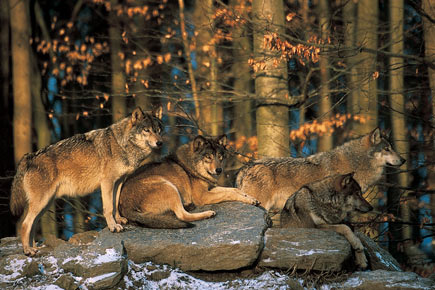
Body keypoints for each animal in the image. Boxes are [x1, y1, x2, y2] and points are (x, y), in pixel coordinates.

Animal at [10, 105, 164, 255]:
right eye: (146, 130)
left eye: (158, 130)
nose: (160, 143)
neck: (123, 144)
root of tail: (29, 156)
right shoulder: (107, 182)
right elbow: (108, 207)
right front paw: (113, 227)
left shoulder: (119, 181)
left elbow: (115, 203)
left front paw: (119, 220)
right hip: (42, 202)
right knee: (25, 224)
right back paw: (28, 250)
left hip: (45, 204)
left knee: (32, 224)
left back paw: (32, 247)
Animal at [119, 134, 258, 229]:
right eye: (208, 157)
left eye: (220, 156)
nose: (219, 170)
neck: (192, 167)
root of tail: (124, 206)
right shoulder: (202, 196)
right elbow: (230, 193)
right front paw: (248, 199)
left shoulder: (210, 188)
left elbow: (234, 189)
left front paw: (251, 198)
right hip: (168, 185)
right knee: (182, 215)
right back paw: (208, 213)